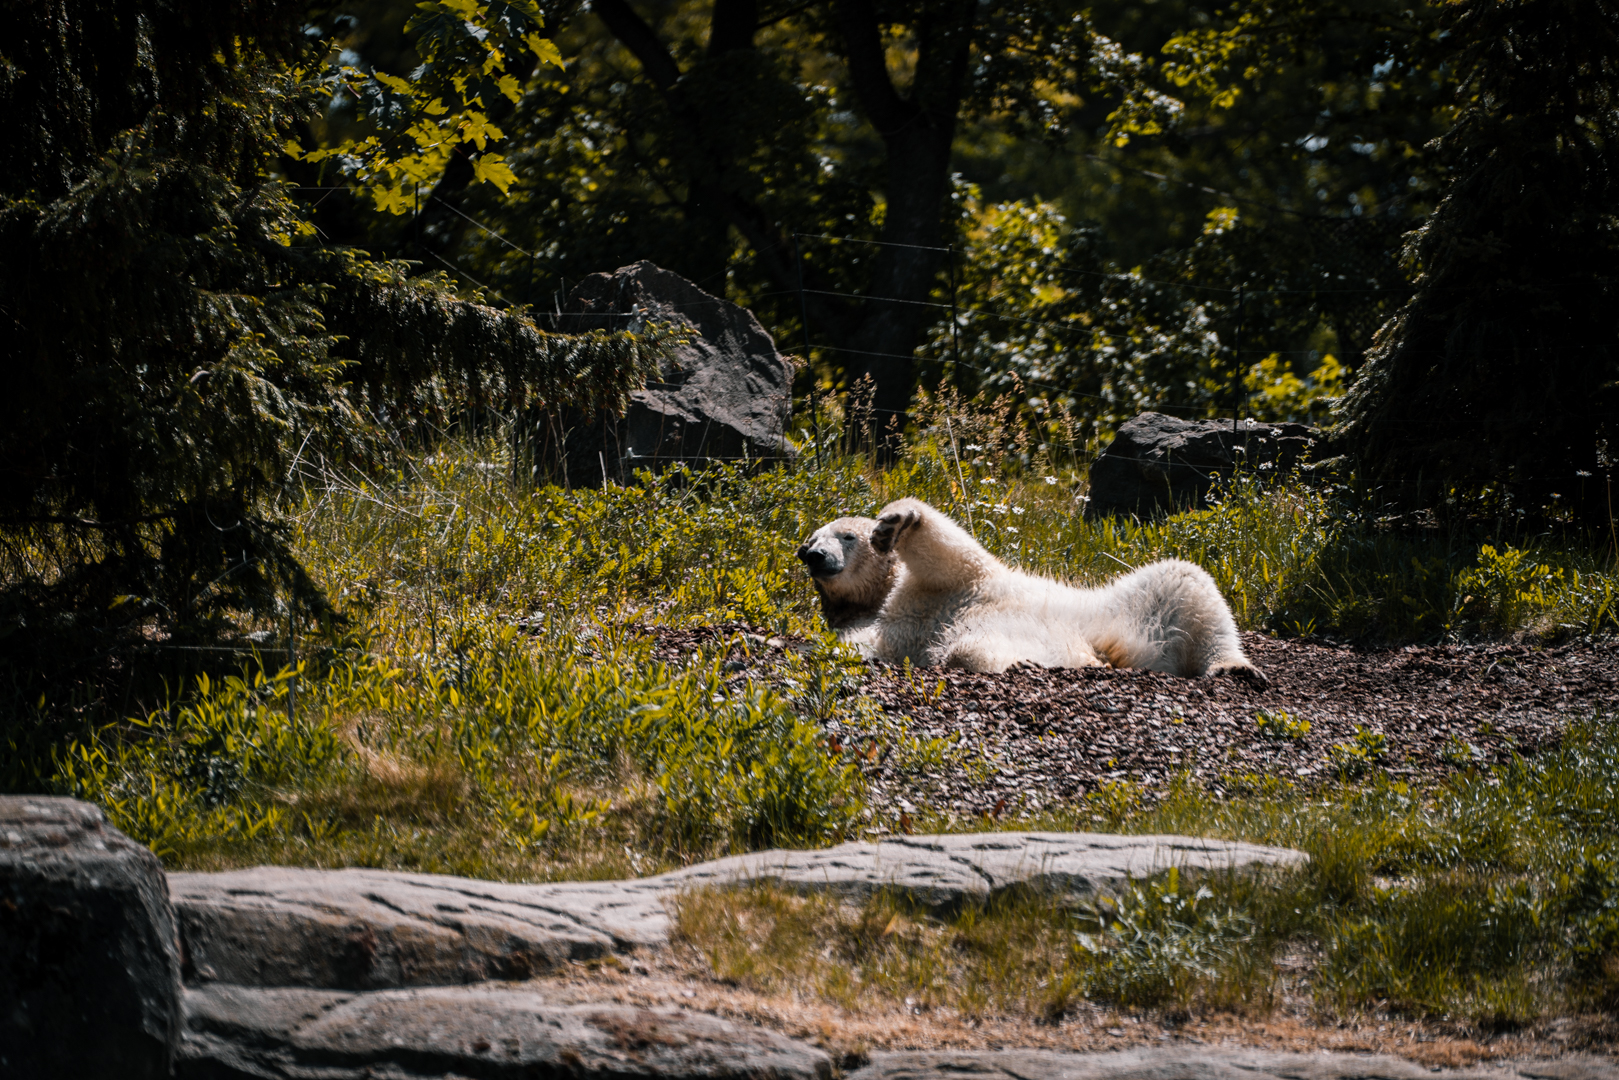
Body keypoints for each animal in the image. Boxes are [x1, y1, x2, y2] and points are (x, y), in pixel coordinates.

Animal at [798, 497, 1262, 681]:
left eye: (846, 536)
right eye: (810, 539)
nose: (814, 555)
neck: (882, 597)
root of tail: (1114, 654)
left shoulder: (961, 583)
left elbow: (953, 556)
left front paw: (896, 522)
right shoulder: (884, 625)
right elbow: (865, 644)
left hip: (1121, 608)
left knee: (1186, 583)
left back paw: (1233, 666)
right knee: (971, 647)